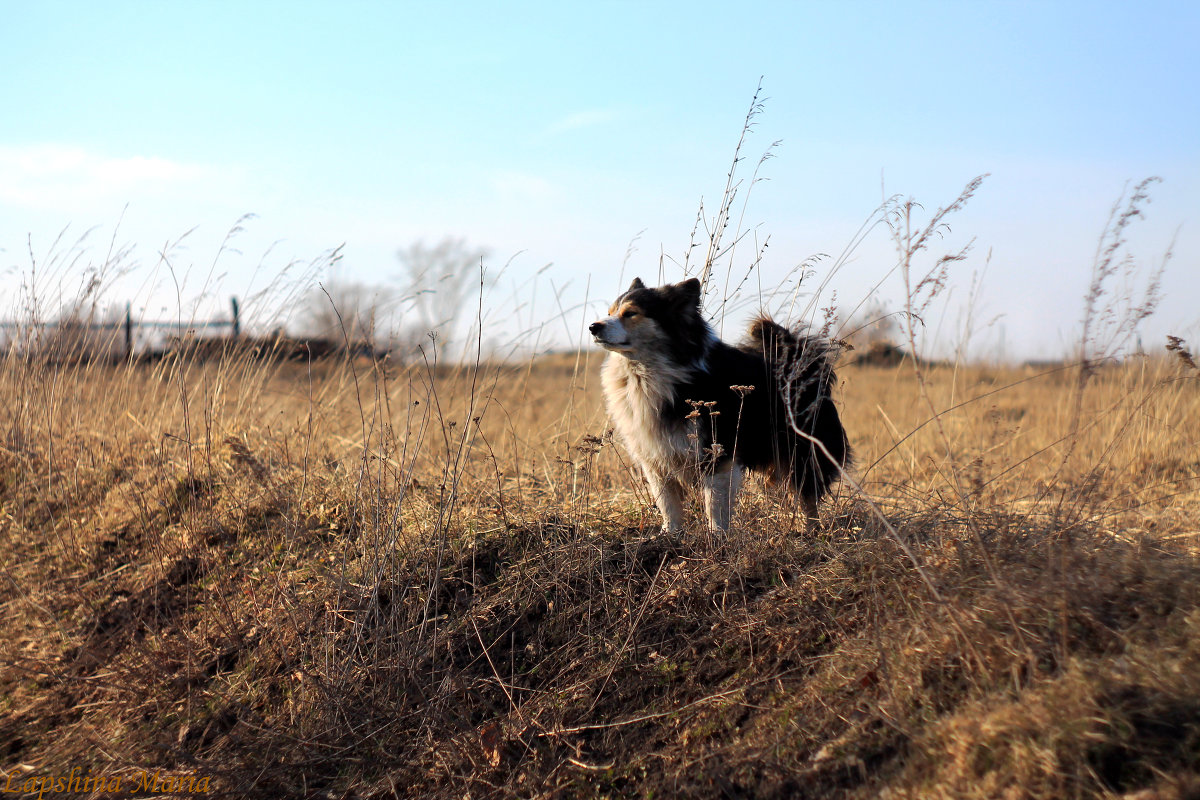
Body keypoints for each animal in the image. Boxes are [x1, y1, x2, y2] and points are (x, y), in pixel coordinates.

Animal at [592, 278, 854, 534]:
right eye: (610, 312)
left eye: (630, 313)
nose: (593, 327)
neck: (648, 371)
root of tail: (805, 361)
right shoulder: (654, 456)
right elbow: (667, 501)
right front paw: (669, 535)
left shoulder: (717, 448)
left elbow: (715, 502)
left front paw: (717, 536)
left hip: (803, 447)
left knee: (807, 493)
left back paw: (810, 530)